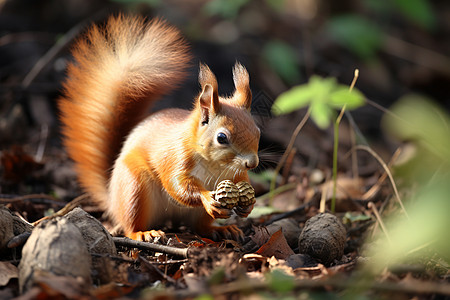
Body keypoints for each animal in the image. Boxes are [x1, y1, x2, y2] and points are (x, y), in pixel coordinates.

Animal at [59, 14, 260, 241]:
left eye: (258, 131)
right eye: (222, 138)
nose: (252, 163)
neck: (215, 165)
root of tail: (112, 198)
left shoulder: (234, 173)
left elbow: (241, 180)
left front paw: (249, 204)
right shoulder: (175, 157)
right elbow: (177, 185)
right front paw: (207, 198)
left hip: (192, 214)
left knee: (200, 227)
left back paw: (221, 229)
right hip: (134, 188)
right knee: (130, 223)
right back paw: (143, 233)